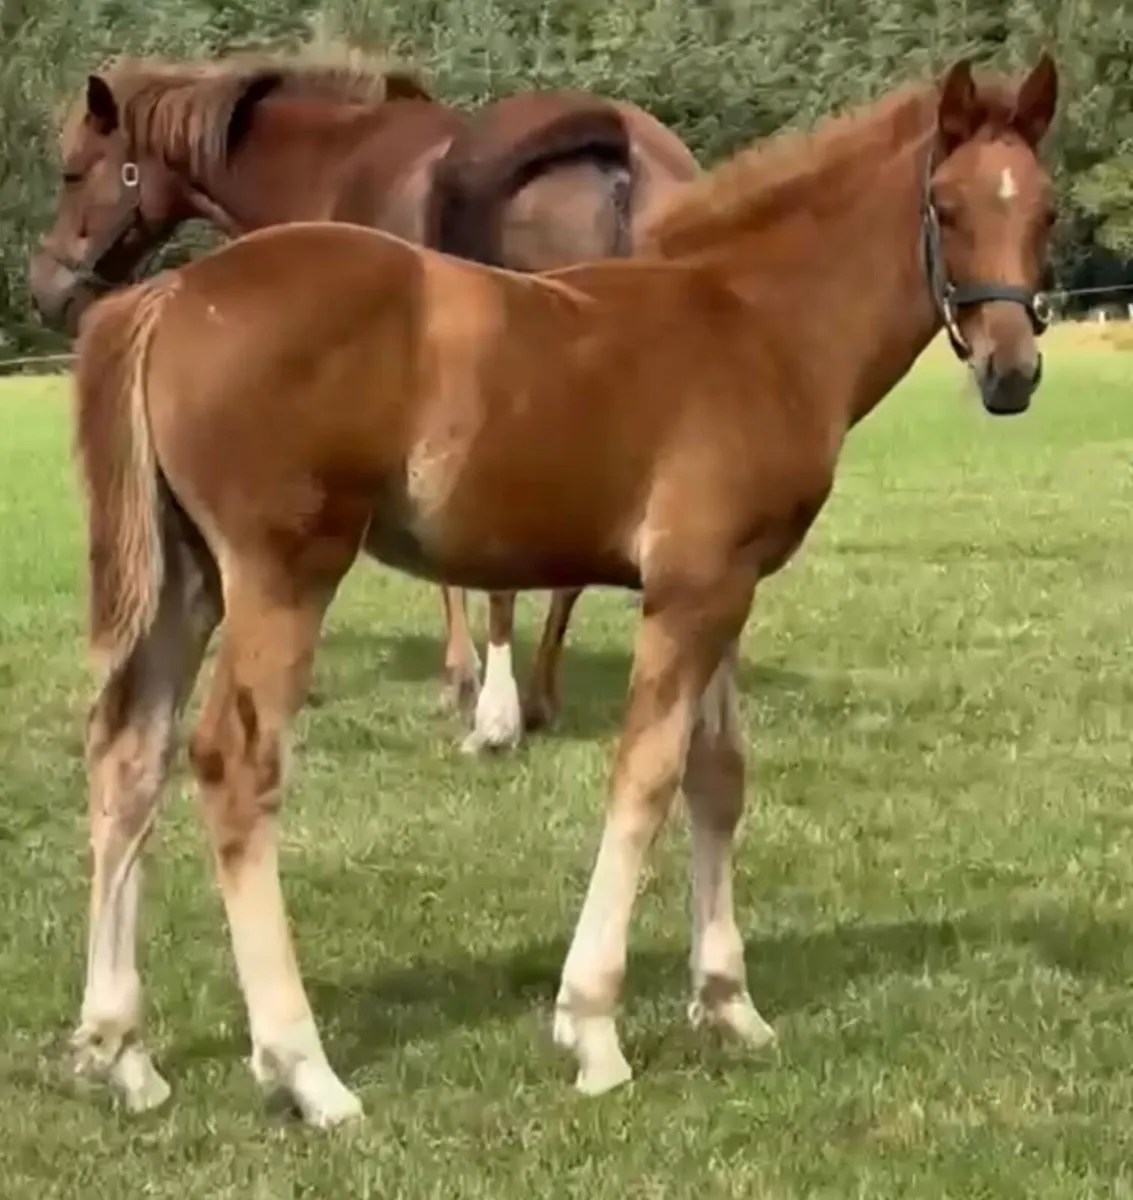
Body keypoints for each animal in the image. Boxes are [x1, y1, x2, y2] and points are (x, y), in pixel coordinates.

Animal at [28, 48, 701, 754]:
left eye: (74, 170)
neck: (326, 165)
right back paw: (549, 697)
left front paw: (463, 682)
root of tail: (614, 156)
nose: (45, 290)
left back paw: (499, 717)